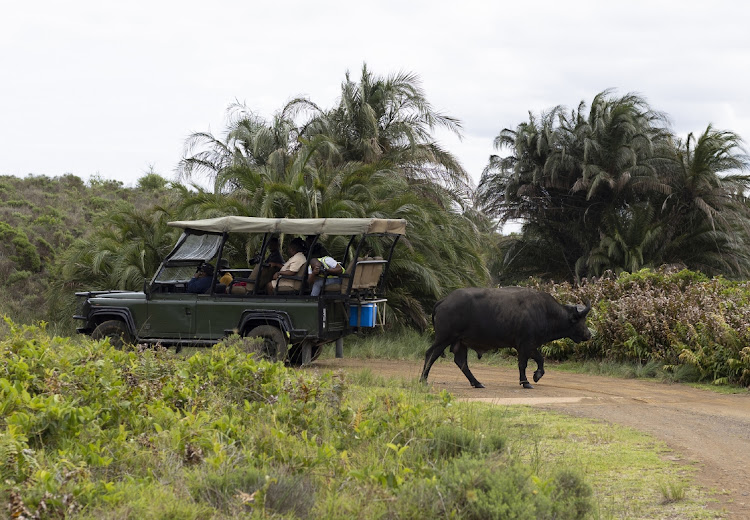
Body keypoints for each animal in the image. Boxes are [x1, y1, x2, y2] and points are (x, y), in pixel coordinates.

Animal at [420, 286, 592, 388]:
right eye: (581, 320)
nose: (589, 334)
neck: (545, 312)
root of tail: (444, 301)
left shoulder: (530, 345)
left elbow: (540, 359)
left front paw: (537, 375)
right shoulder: (525, 344)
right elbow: (523, 364)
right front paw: (526, 382)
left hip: (460, 343)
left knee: (461, 362)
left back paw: (477, 383)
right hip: (444, 338)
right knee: (431, 354)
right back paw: (423, 379)